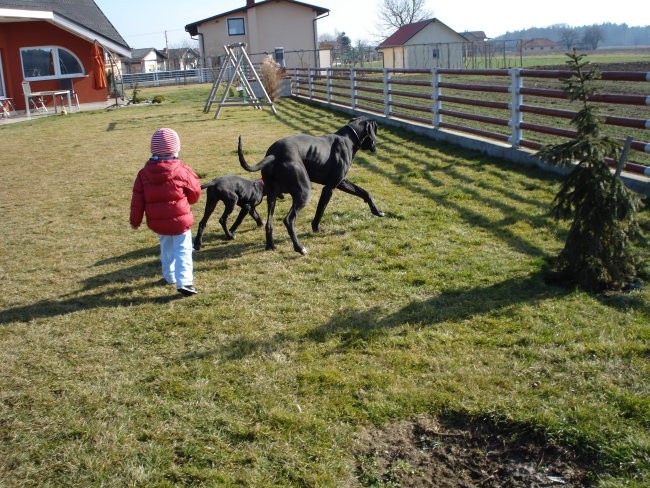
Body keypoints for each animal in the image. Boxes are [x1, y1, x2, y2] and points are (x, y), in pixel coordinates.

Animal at [237, 117, 380, 255]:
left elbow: (364, 192)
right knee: (289, 220)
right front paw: (316, 228)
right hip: (304, 192)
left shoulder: (342, 182)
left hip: (272, 196)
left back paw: (270, 245)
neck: (348, 138)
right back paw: (299, 248)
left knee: (269, 223)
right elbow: (320, 211)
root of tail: (274, 155)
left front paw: (377, 211)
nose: (375, 146)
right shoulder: (329, 188)